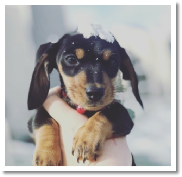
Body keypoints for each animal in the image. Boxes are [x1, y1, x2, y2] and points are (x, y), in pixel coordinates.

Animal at [27, 24, 143, 165]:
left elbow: (108, 112)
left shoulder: (125, 119)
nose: (95, 93)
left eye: (113, 61)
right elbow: (44, 120)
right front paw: (47, 155)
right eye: (71, 59)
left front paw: (87, 139)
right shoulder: (35, 117)